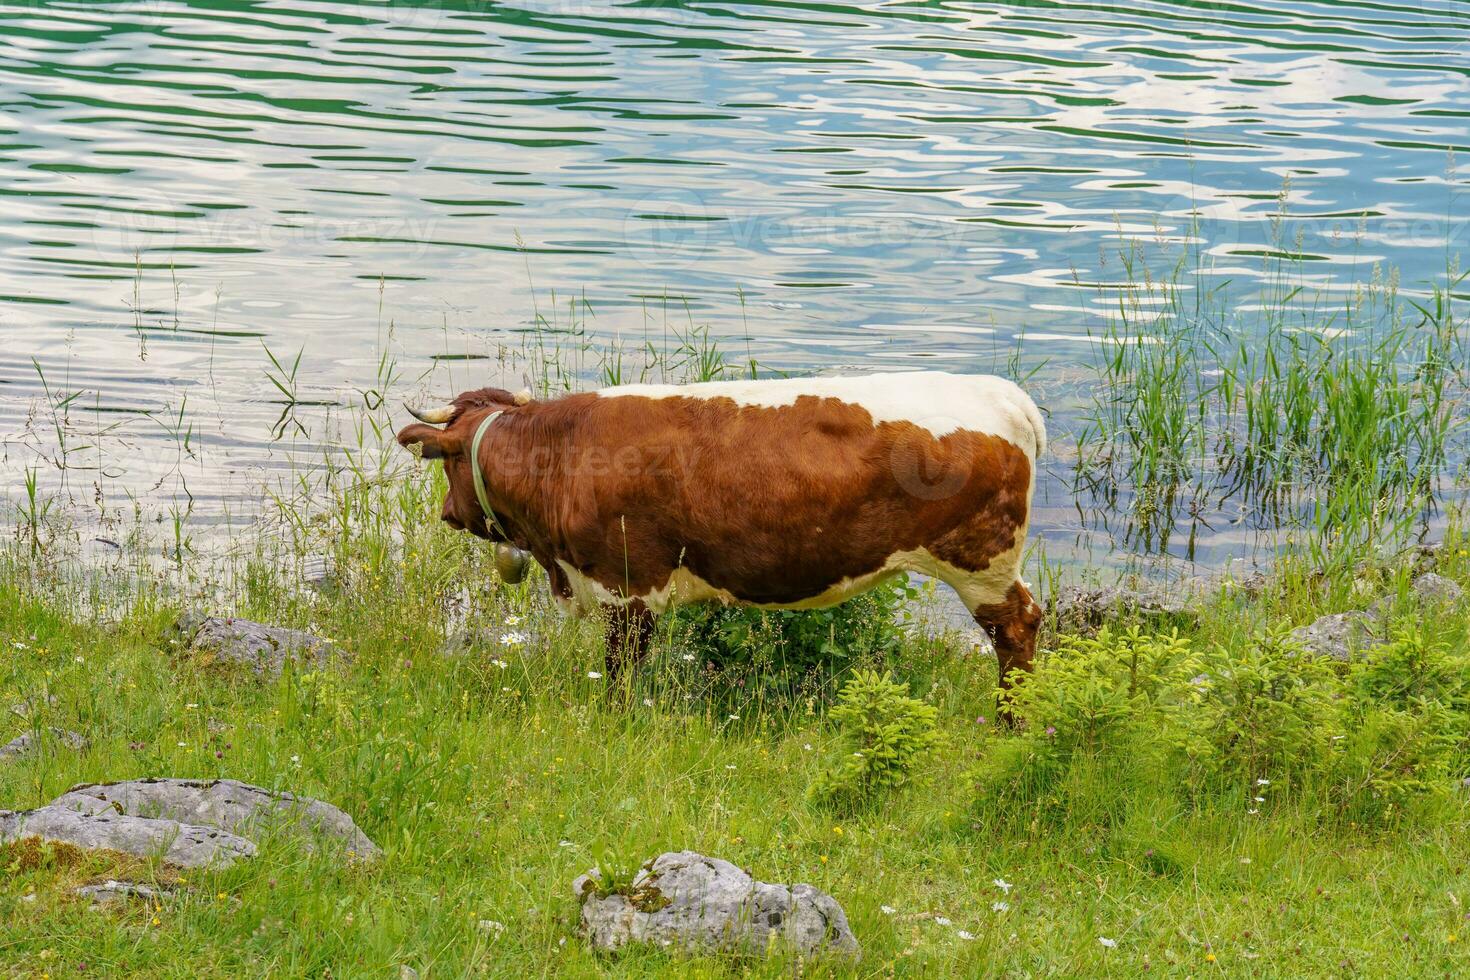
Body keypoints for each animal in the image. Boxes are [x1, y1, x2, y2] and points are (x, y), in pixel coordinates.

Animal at [393, 371, 1046, 717]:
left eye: (447, 464)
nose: (447, 513)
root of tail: (1003, 394)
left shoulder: (628, 585)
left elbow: (621, 669)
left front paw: (614, 719)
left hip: (980, 563)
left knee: (1017, 628)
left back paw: (1010, 723)